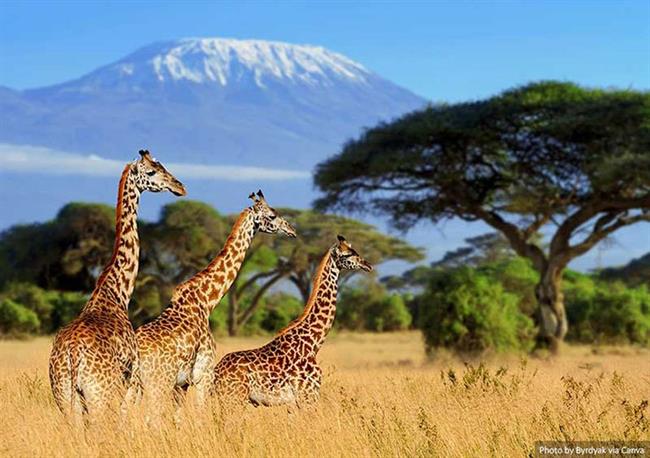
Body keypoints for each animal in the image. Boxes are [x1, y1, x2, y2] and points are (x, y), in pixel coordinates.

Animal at [47, 148, 185, 420]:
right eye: (151, 171)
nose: (179, 186)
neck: (117, 292)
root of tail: (71, 356)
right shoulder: (131, 379)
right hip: (101, 395)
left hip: (65, 398)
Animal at [133, 190, 298, 412]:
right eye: (272, 215)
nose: (292, 230)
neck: (206, 300)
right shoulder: (204, 374)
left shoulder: (182, 383)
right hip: (158, 383)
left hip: (135, 385)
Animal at [213, 234, 372, 406]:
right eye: (348, 254)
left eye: (354, 250)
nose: (368, 265)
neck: (313, 343)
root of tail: (216, 373)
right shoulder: (308, 396)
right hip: (233, 398)